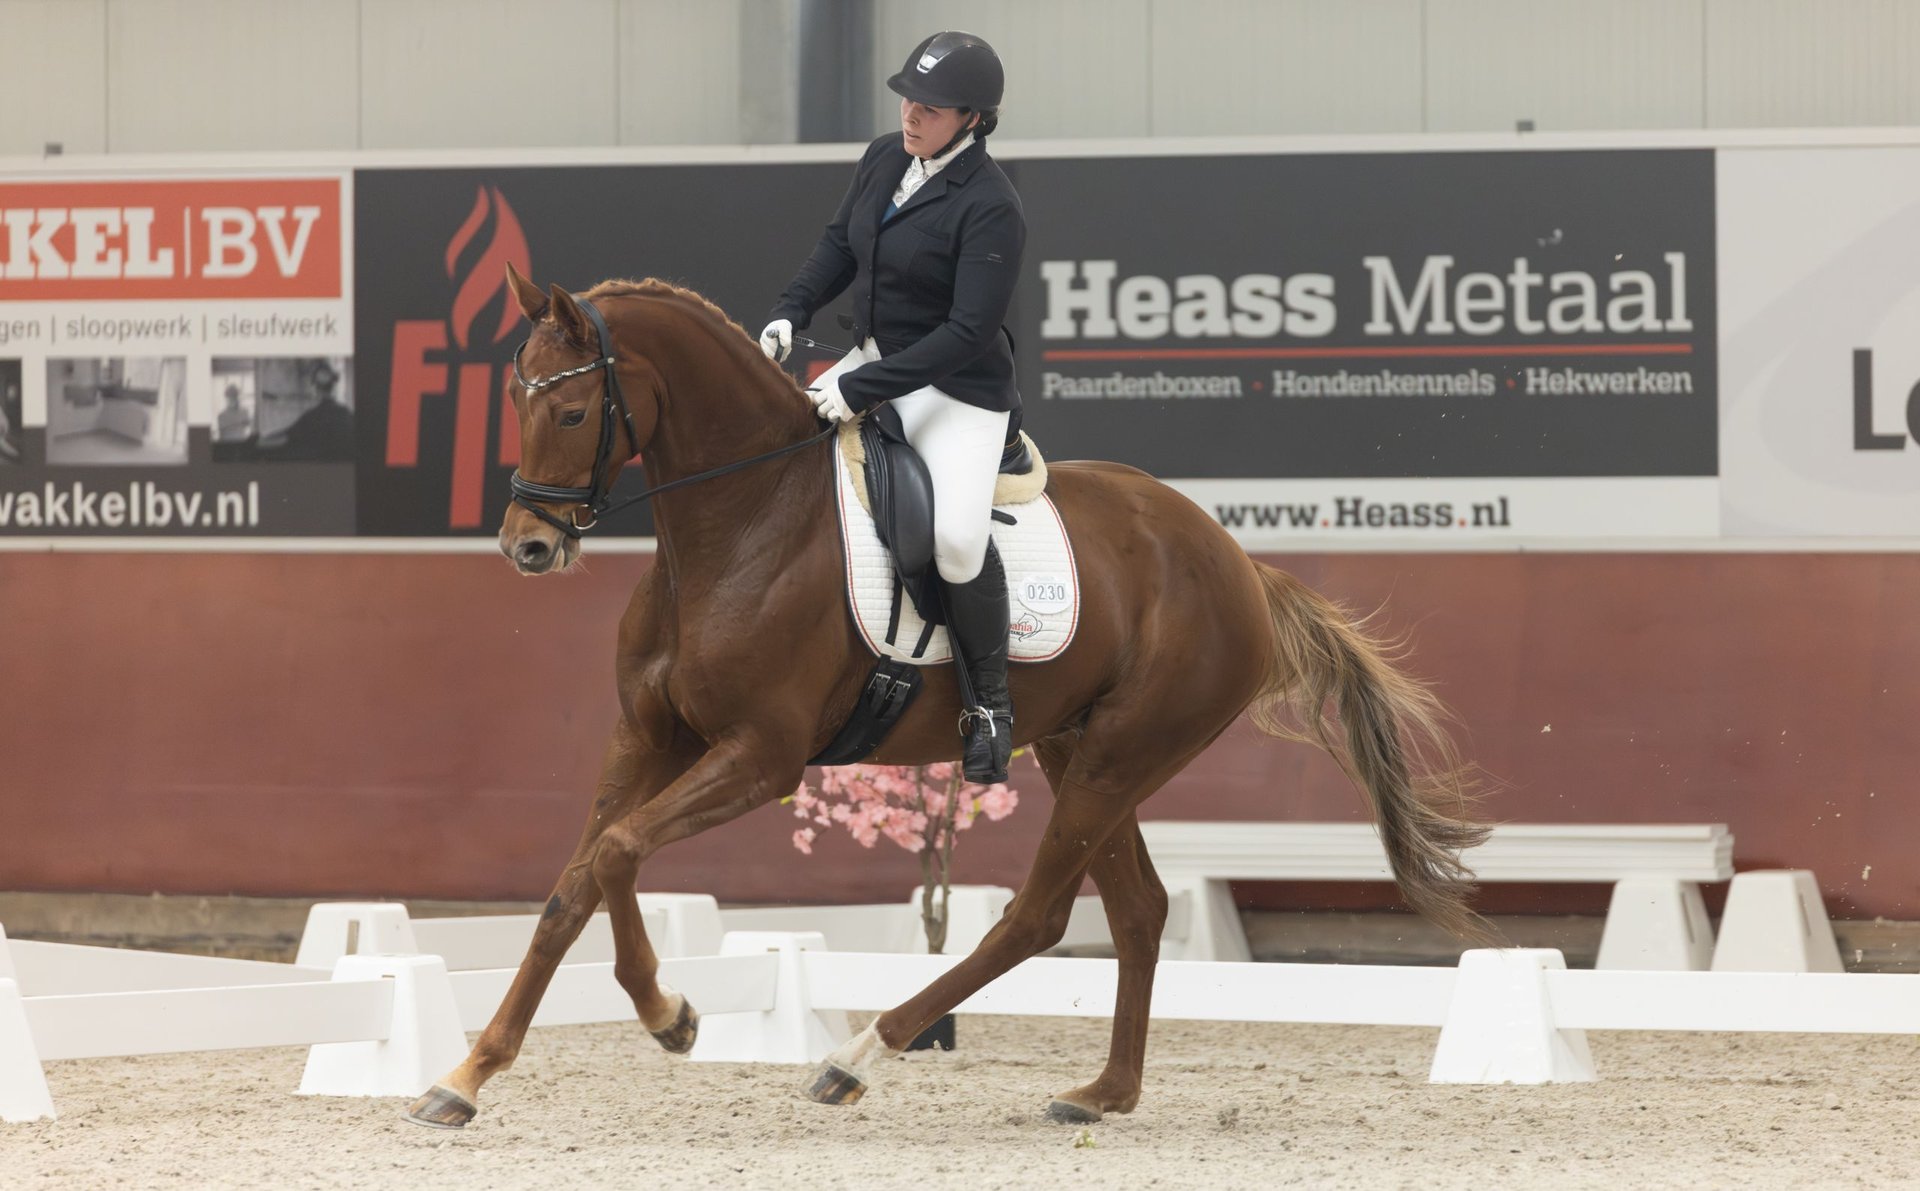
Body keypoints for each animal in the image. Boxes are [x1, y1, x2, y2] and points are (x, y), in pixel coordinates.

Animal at [403, 263, 1491, 1129]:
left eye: (572, 411)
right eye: (514, 399)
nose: (527, 547)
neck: (741, 521)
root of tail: (1236, 561)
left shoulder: (761, 756)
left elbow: (619, 854)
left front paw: (669, 1016)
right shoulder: (645, 738)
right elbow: (574, 884)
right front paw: (468, 1074)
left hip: (1119, 755)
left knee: (1040, 916)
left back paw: (857, 1057)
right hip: (1081, 748)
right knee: (1137, 909)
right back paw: (1102, 1093)